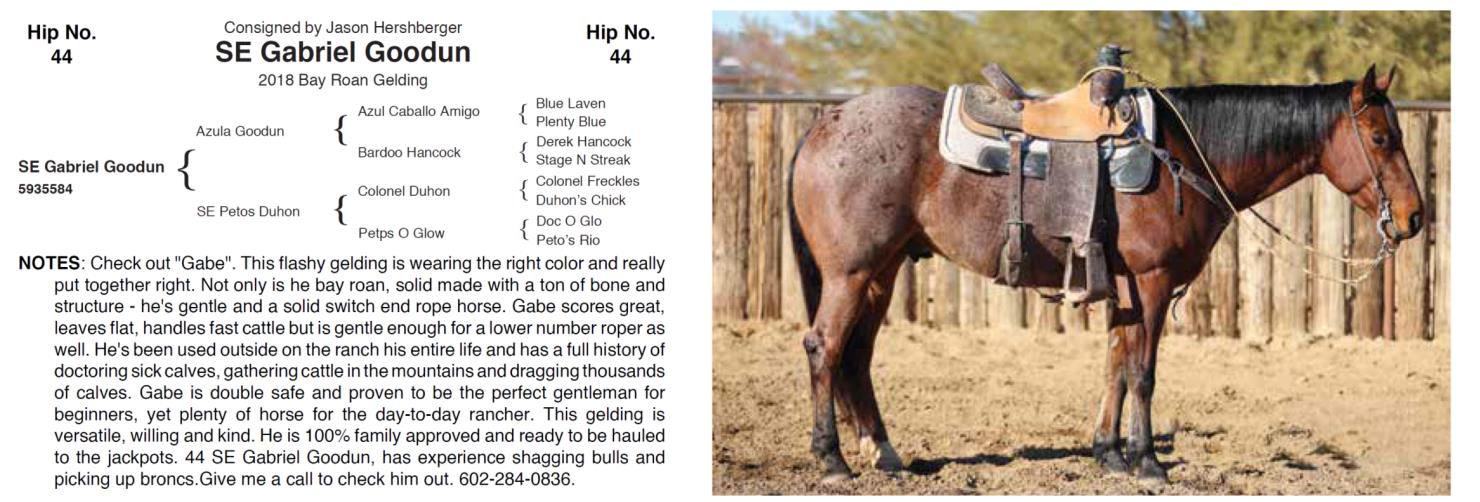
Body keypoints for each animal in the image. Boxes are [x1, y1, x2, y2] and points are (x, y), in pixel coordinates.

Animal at [786, 65, 1423, 483]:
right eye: (1381, 137)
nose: (1415, 216)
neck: (1183, 156)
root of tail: (828, 121)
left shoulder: (1124, 286)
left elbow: (1114, 365)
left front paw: (1109, 453)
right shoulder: (1152, 282)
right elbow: (1142, 372)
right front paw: (1148, 463)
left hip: (881, 272)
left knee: (857, 355)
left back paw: (885, 454)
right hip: (850, 273)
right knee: (824, 348)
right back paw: (832, 460)